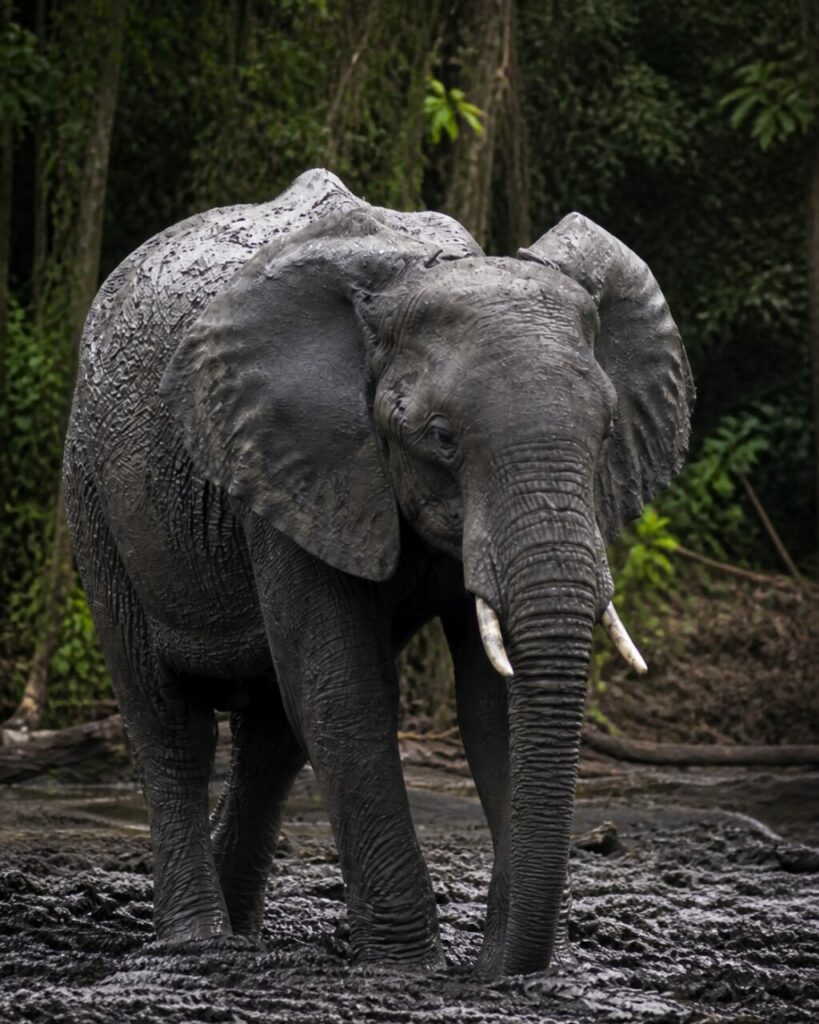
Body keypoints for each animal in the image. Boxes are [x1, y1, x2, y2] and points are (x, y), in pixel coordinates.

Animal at [63, 168, 693, 977]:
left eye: (608, 430)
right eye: (441, 437)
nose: (500, 970)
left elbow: (490, 700)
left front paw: (494, 965)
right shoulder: (293, 463)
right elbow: (343, 690)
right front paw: (409, 967)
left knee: (271, 740)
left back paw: (242, 934)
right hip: (95, 500)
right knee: (170, 721)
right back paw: (198, 943)